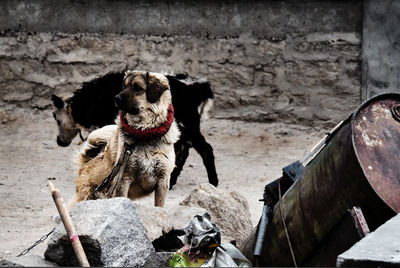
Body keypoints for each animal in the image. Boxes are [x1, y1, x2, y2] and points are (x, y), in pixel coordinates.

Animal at [52, 71, 219, 188]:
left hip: (189, 126)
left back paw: (213, 182)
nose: (60, 142)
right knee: (184, 151)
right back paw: (172, 181)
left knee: (204, 149)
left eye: (56, 118)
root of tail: (195, 86)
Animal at [74, 70, 180, 206]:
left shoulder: (163, 180)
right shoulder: (124, 179)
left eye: (137, 88)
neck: (144, 134)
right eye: (124, 86)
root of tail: (87, 162)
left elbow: (159, 205)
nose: (116, 98)